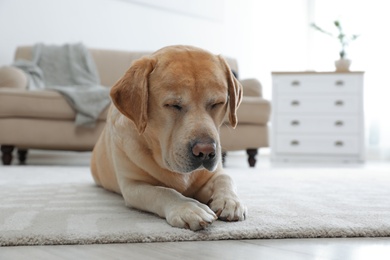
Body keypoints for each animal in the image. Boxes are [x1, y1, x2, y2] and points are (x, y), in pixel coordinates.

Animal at [91, 45, 247, 231]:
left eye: (217, 103)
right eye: (173, 105)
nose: (206, 152)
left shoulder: (214, 172)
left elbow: (225, 178)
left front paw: (230, 200)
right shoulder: (132, 185)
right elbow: (163, 191)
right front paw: (188, 207)